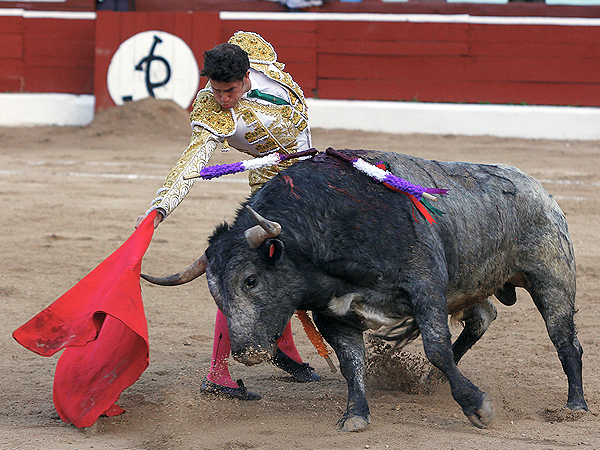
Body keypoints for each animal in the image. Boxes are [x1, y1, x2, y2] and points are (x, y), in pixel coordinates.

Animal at [144, 150, 584, 432]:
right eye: (215, 293)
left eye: (251, 280)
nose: (247, 352)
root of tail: (539, 190)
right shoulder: (332, 313)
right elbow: (351, 362)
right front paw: (355, 414)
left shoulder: (425, 286)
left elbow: (436, 348)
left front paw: (478, 407)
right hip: (470, 286)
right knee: (483, 317)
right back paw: (429, 382)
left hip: (551, 277)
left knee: (565, 341)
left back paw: (575, 406)